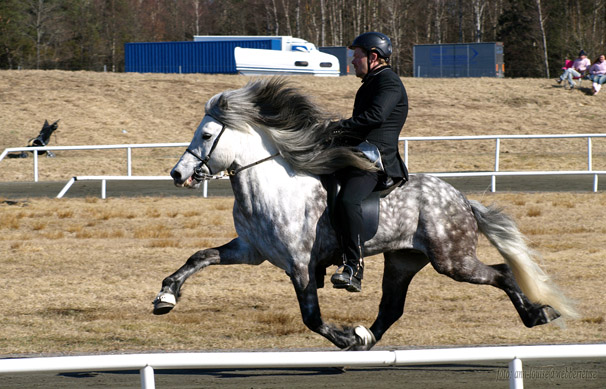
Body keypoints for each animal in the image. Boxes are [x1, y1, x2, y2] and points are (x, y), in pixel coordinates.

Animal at [153, 77, 580, 350]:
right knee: (391, 307)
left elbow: (311, 317)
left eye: (207, 135)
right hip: (404, 259)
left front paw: (342, 337)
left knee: (502, 272)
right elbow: (199, 257)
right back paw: (366, 337)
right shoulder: (250, 251)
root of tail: (459, 197)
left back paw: (537, 315)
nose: (178, 174)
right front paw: (166, 295)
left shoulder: (299, 265)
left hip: (452, 260)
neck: (270, 190)